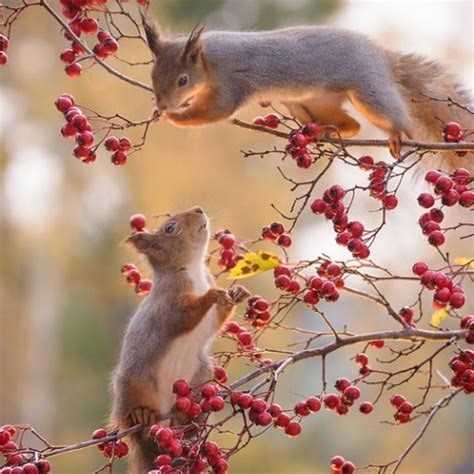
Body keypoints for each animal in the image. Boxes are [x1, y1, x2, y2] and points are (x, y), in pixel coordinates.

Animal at [109, 206, 250, 474]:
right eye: (170, 228)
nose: (198, 209)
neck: (193, 269)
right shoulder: (169, 305)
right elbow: (184, 316)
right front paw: (209, 296)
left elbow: (217, 320)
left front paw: (237, 293)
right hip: (133, 385)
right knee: (133, 424)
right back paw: (142, 416)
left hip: (201, 373)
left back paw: (188, 418)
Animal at [143, 17, 474, 165]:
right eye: (153, 74)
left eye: (183, 80)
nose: (163, 103)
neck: (209, 60)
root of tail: (382, 56)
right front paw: (160, 110)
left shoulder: (230, 85)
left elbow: (216, 110)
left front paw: (175, 117)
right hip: (309, 104)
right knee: (352, 124)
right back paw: (327, 131)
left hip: (368, 88)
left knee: (392, 116)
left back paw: (398, 135)